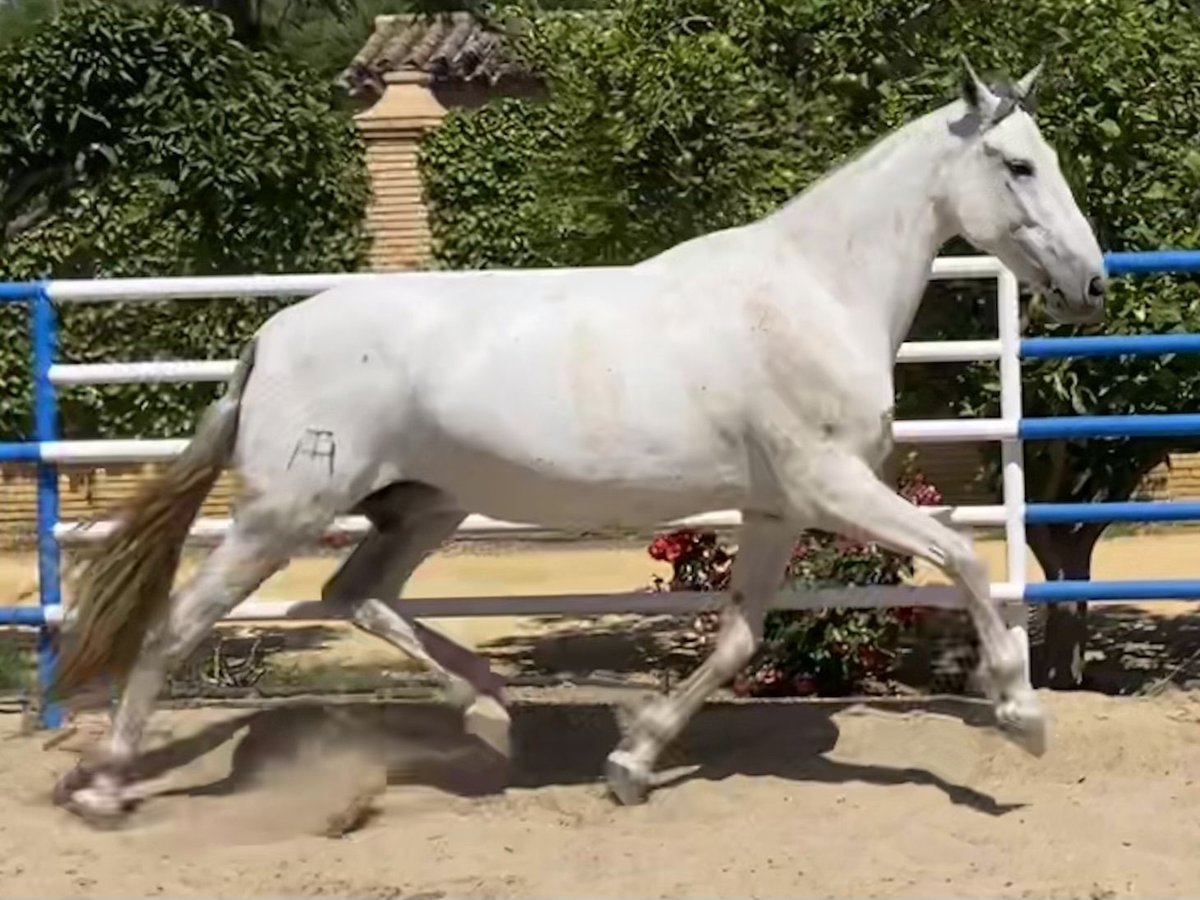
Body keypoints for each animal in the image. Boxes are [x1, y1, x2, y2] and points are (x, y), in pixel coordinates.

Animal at [54, 60, 1104, 825]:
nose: (1090, 284)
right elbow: (964, 556)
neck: (809, 293)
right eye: (1018, 165)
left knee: (352, 595)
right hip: (284, 513)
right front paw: (1021, 715)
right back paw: (108, 786)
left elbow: (737, 639)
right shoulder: (832, 486)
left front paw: (631, 758)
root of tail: (268, 338)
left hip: (423, 508)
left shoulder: (773, 506)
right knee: (180, 624)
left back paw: (488, 712)